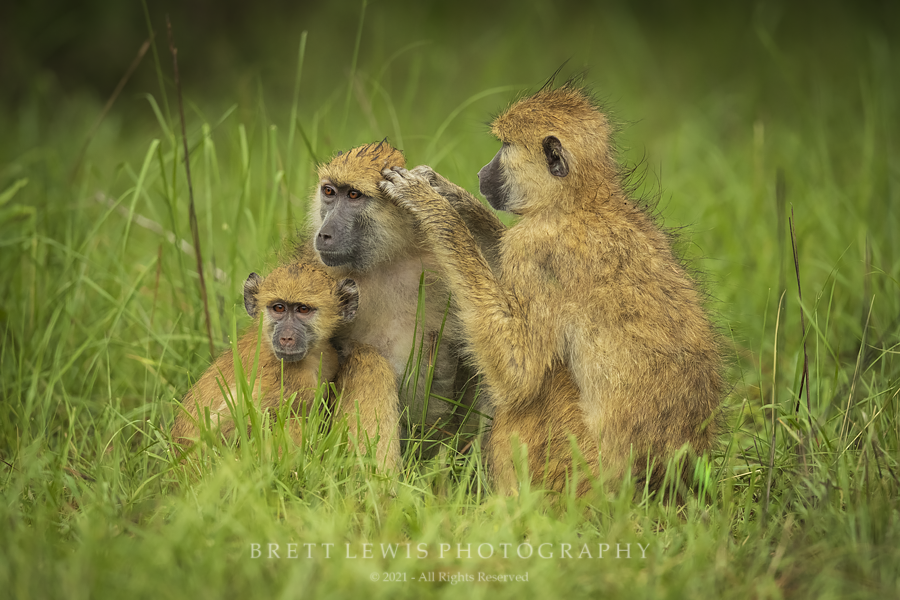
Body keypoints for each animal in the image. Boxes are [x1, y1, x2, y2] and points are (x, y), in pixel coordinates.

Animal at [380, 82, 724, 496]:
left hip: (577, 467)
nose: (481, 173)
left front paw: (434, 208)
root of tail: (664, 483)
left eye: (504, 146)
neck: (579, 201)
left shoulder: (535, 254)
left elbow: (519, 371)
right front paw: (449, 193)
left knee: (539, 389)